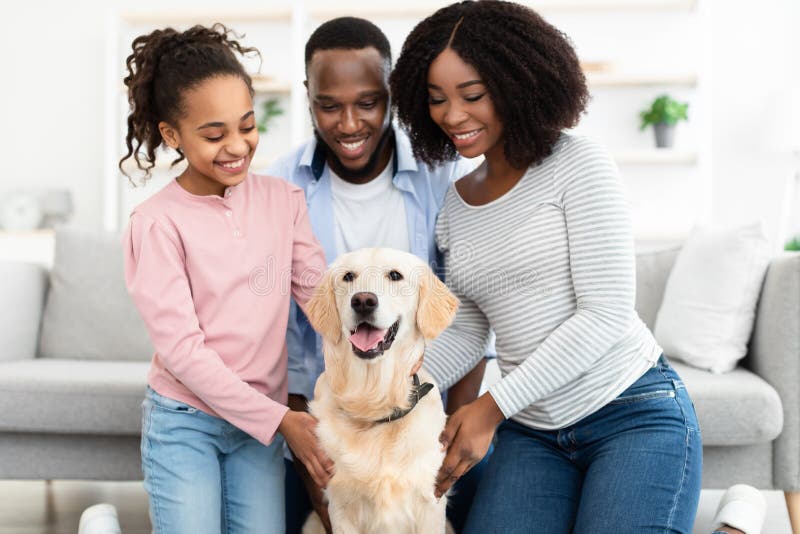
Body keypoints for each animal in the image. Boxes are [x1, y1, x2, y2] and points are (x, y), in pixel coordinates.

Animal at [302, 249, 462, 532]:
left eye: (395, 275)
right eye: (348, 277)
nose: (363, 301)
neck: (374, 403)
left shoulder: (429, 505)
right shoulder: (341, 508)